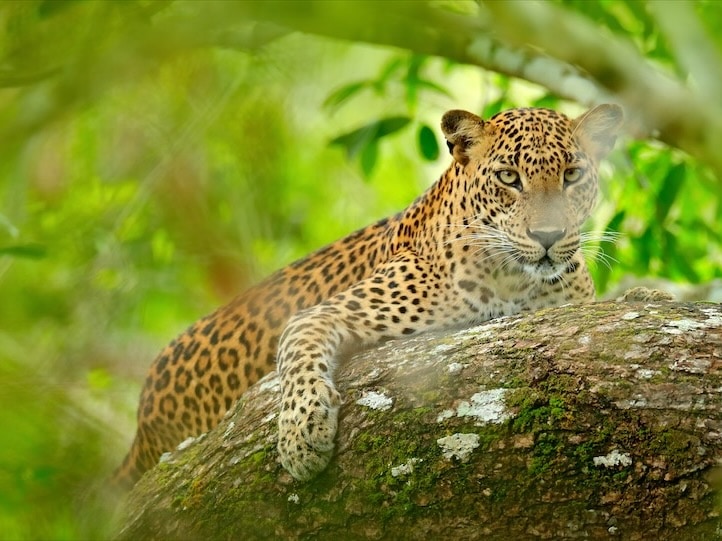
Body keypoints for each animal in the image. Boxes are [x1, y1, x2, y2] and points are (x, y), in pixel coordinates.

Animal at [114, 103, 623, 486]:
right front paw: (301, 436)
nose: (548, 236)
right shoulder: (324, 313)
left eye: (572, 175)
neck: (517, 280)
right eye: (508, 178)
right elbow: (299, 352)